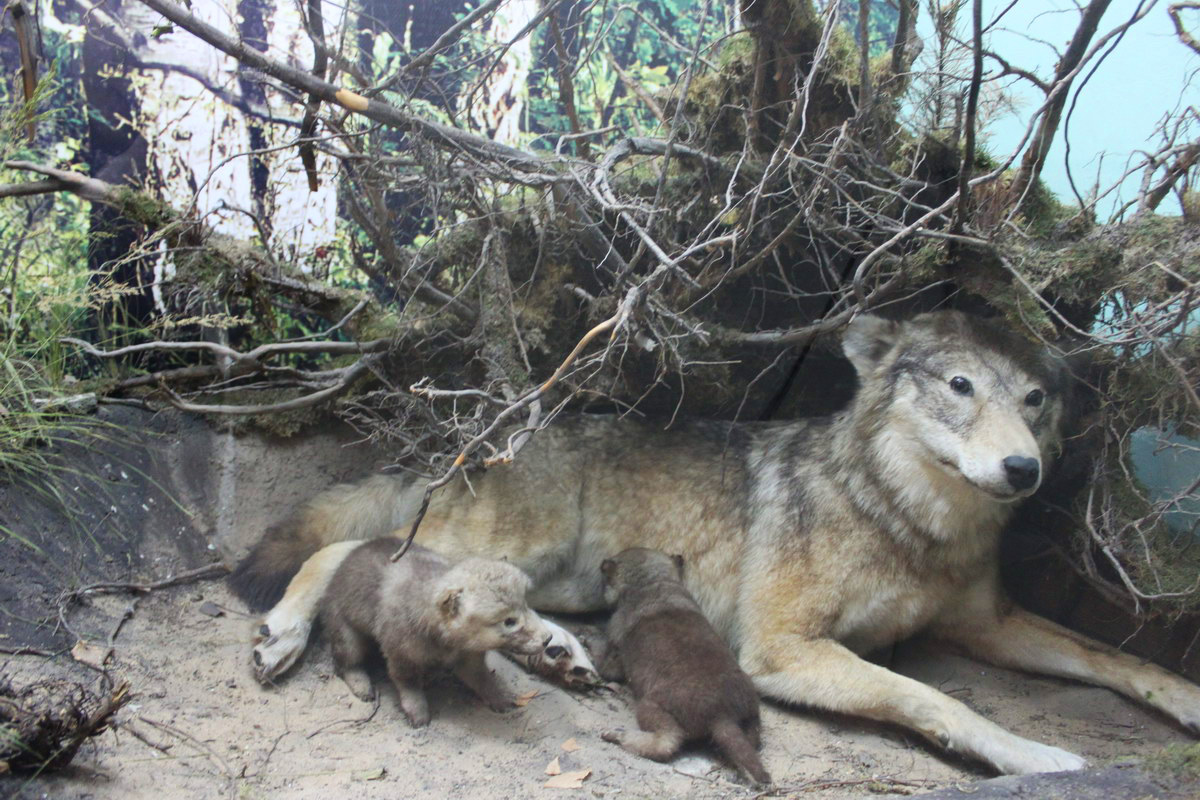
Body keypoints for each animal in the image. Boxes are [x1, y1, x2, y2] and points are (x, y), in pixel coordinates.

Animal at [314, 537, 549, 724]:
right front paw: (417, 712)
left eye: (525, 604)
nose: (548, 638)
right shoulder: (400, 654)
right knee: (346, 663)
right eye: (509, 621)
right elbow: (408, 684)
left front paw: (500, 697)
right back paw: (362, 685)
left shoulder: (470, 657)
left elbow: (483, 679)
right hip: (346, 634)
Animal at [597, 546, 768, 786]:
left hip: (652, 707)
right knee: (751, 742)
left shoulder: (614, 638)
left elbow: (607, 667)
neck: (654, 584)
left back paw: (616, 734)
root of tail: (722, 715)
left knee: (666, 744)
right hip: (751, 715)